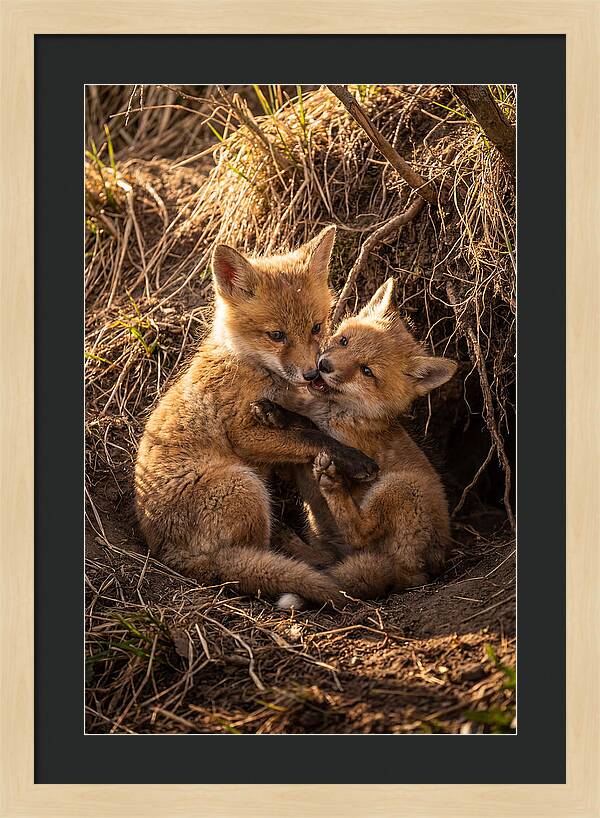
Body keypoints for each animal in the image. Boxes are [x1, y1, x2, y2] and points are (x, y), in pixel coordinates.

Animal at [134, 227, 378, 607]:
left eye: (316, 327)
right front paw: (354, 460)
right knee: (255, 556)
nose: (312, 374)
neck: (249, 366)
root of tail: (168, 554)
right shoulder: (244, 434)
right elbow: (312, 436)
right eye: (276, 335)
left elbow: (305, 425)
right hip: (243, 484)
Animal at [255, 277, 457, 608]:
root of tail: (420, 573)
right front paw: (276, 411)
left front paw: (282, 415)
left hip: (401, 487)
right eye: (344, 341)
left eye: (366, 371)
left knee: (360, 532)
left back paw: (332, 486)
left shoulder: (348, 445)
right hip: (325, 535)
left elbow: (314, 430)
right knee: (328, 559)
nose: (324, 365)